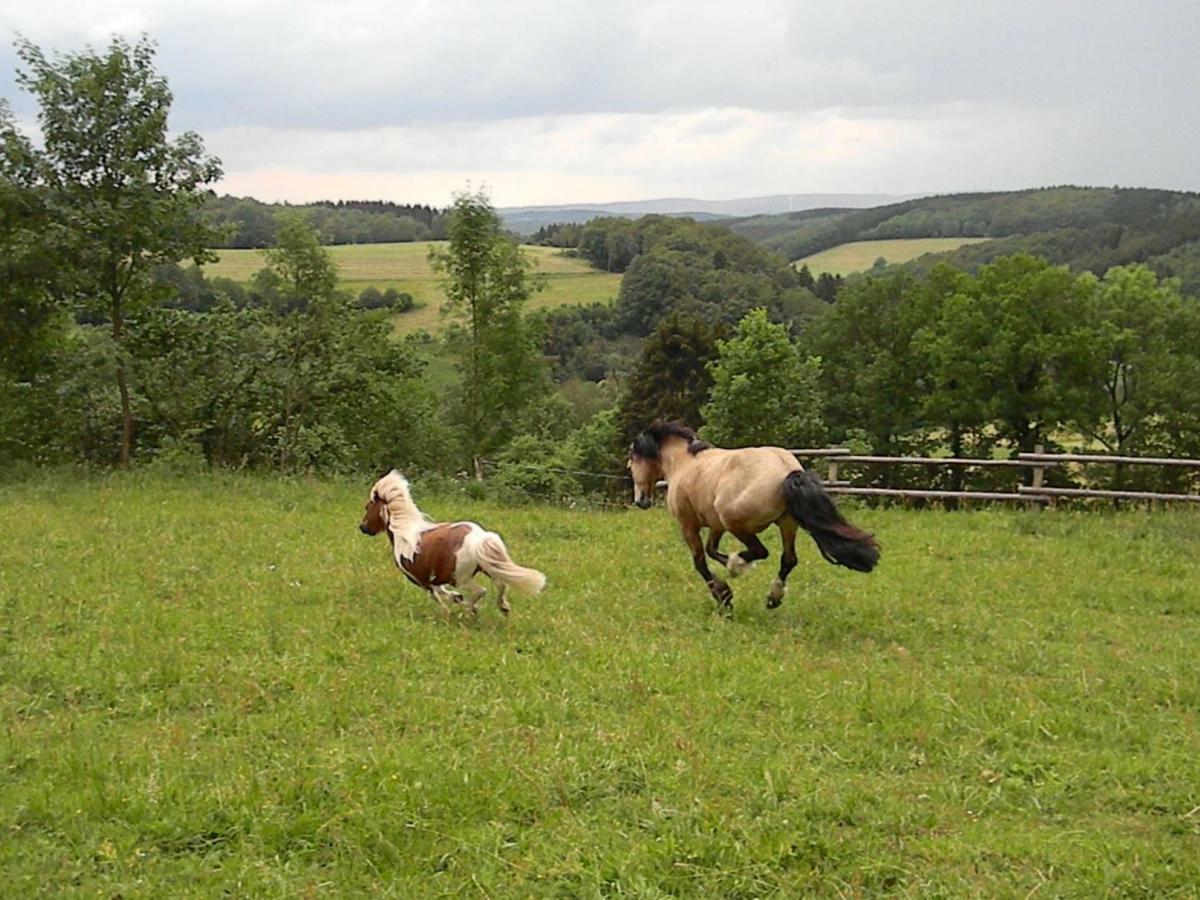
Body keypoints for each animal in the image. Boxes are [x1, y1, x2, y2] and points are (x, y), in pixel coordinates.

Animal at [355, 472, 544, 614]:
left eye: (367, 507)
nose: (363, 527)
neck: (404, 533)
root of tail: (479, 538)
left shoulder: (421, 580)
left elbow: (438, 594)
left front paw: (452, 605)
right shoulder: (434, 579)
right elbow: (441, 591)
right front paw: (457, 600)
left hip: (460, 578)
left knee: (481, 590)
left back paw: (470, 609)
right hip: (488, 566)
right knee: (501, 584)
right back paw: (503, 607)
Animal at [628, 422, 883, 614]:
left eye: (632, 462)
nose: (641, 501)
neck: (684, 463)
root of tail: (787, 471)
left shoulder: (689, 525)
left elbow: (700, 562)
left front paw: (725, 595)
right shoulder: (716, 525)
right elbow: (712, 550)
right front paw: (729, 580)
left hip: (736, 522)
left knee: (762, 551)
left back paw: (738, 566)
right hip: (787, 523)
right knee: (788, 560)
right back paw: (773, 598)